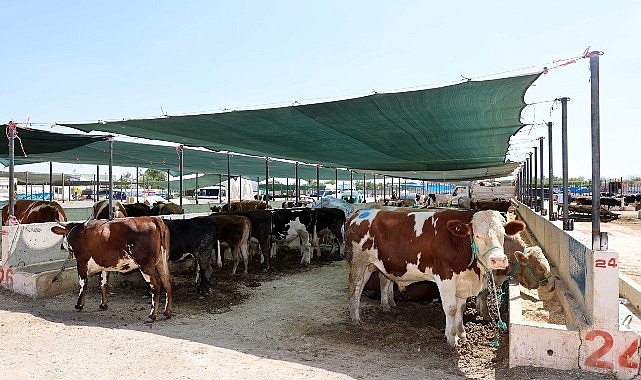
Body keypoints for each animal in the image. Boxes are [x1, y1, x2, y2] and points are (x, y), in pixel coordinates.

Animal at [348, 208, 524, 348]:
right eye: (478, 235)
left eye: (503, 234)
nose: (498, 260)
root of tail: (359, 212)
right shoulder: (445, 276)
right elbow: (451, 308)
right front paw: (452, 338)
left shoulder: (462, 281)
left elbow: (460, 308)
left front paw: (461, 334)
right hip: (358, 262)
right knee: (355, 290)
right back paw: (355, 320)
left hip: (371, 265)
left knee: (367, 285)